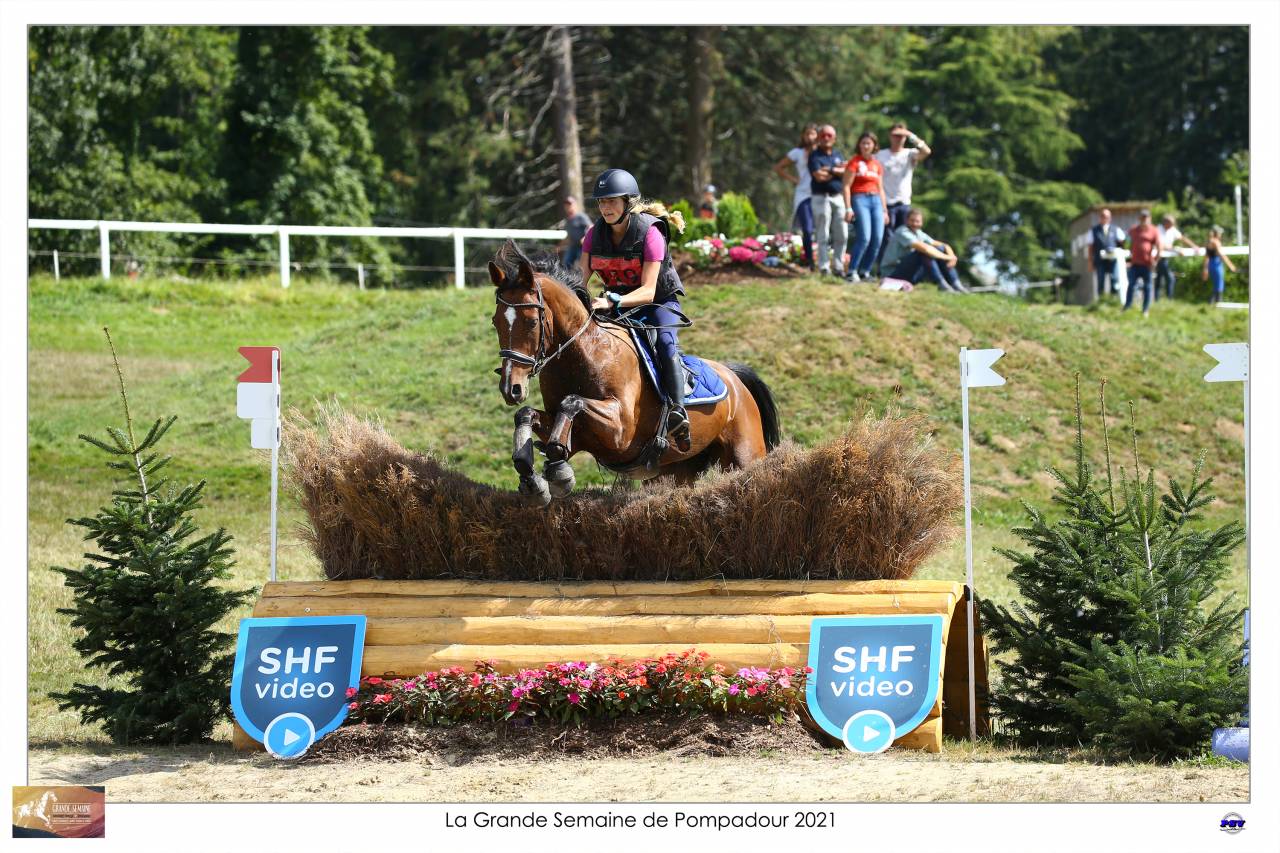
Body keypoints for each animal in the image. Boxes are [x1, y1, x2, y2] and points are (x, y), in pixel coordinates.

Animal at [488, 240, 781, 505]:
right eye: (496, 322)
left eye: (531, 322)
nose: (511, 388)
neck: (582, 353)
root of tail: (733, 378)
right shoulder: (579, 435)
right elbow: (527, 414)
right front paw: (531, 476)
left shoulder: (621, 431)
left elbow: (572, 402)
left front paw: (558, 472)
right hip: (679, 468)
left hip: (745, 454)